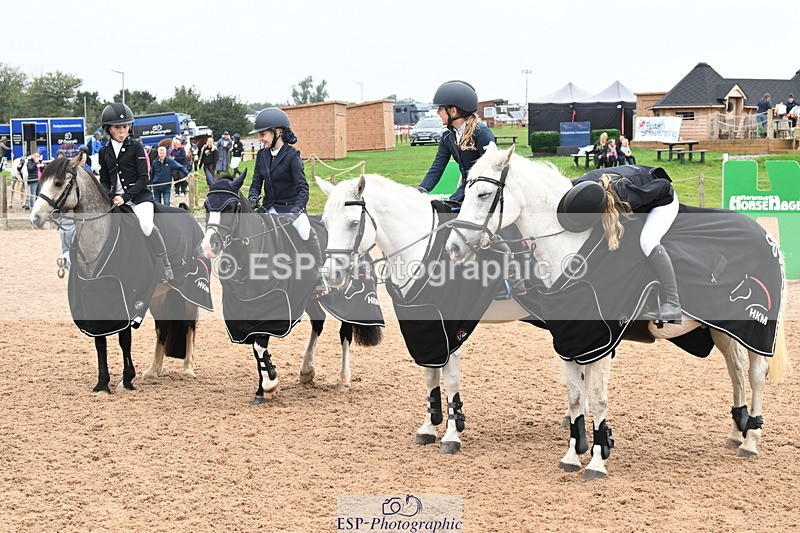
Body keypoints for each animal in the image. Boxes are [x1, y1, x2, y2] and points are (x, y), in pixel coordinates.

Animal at [30, 157, 205, 393]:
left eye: (58, 183)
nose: (35, 218)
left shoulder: (127, 295)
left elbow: (125, 339)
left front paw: (127, 379)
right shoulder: (97, 296)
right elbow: (100, 342)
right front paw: (102, 383)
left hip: (188, 293)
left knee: (189, 326)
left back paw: (187, 369)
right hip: (158, 296)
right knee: (162, 328)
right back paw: (153, 370)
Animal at [200, 173, 383, 404]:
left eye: (231, 207)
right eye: (206, 206)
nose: (208, 246)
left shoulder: (274, 309)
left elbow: (260, 344)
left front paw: (269, 385)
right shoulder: (249, 312)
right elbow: (256, 348)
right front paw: (262, 389)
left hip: (344, 299)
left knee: (345, 333)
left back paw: (343, 380)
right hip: (311, 298)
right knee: (318, 321)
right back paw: (306, 371)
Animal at [317, 174, 537, 454]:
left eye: (354, 223)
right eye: (325, 222)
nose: (331, 275)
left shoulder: (450, 331)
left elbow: (451, 380)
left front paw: (452, 435)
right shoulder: (424, 329)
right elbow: (431, 376)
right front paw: (429, 427)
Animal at [445, 144, 790, 478]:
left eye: (483, 195)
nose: (453, 248)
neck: (571, 242)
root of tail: (766, 235)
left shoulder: (600, 341)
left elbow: (597, 398)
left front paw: (597, 462)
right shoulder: (571, 341)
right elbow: (576, 397)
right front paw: (572, 456)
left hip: (754, 329)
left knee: (755, 374)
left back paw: (751, 440)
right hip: (722, 329)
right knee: (736, 372)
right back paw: (735, 434)